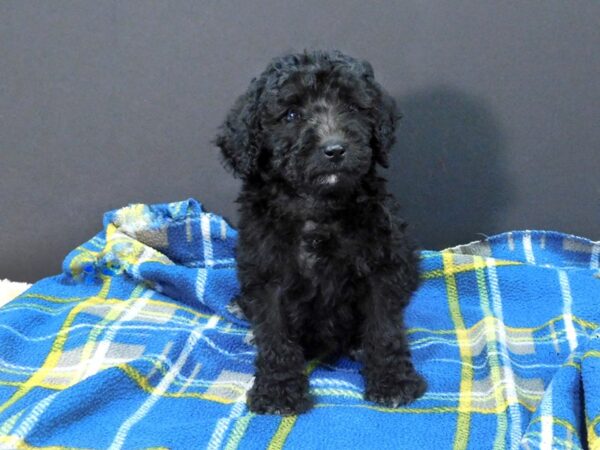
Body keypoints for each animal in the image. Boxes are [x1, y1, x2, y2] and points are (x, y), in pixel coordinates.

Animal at [213, 50, 424, 414]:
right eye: (291, 114)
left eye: (353, 107)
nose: (335, 149)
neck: (318, 205)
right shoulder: (267, 275)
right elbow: (274, 332)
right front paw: (278, 389)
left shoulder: (380, 265)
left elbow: (384, 327)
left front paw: (392, 380)